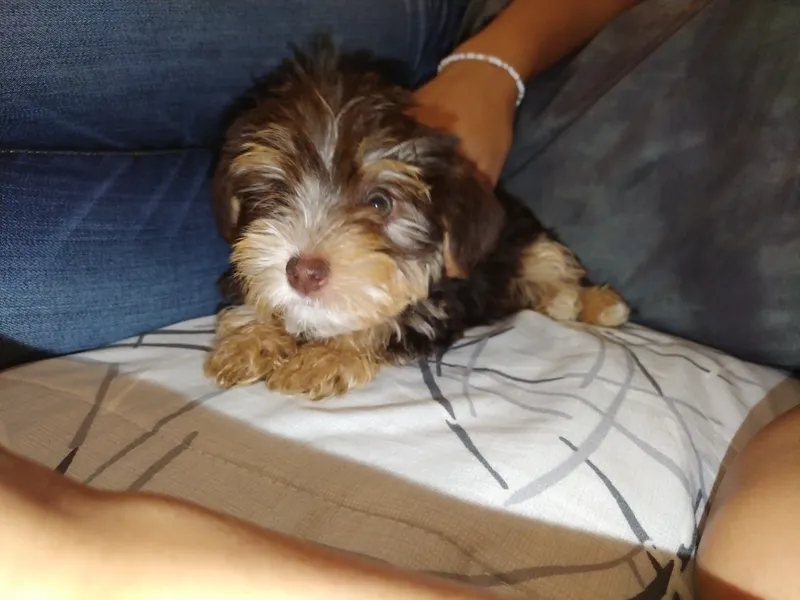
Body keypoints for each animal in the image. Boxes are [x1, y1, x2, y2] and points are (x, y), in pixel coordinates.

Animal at [203, 39, 628, 400]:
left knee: (552, 263)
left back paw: (591, 302)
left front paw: (327, 356)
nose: (304, 273)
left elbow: (389, 319)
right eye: (276, 193)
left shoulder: (439, 304)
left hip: (525, 239)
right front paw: (248, 339)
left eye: (380, 203)